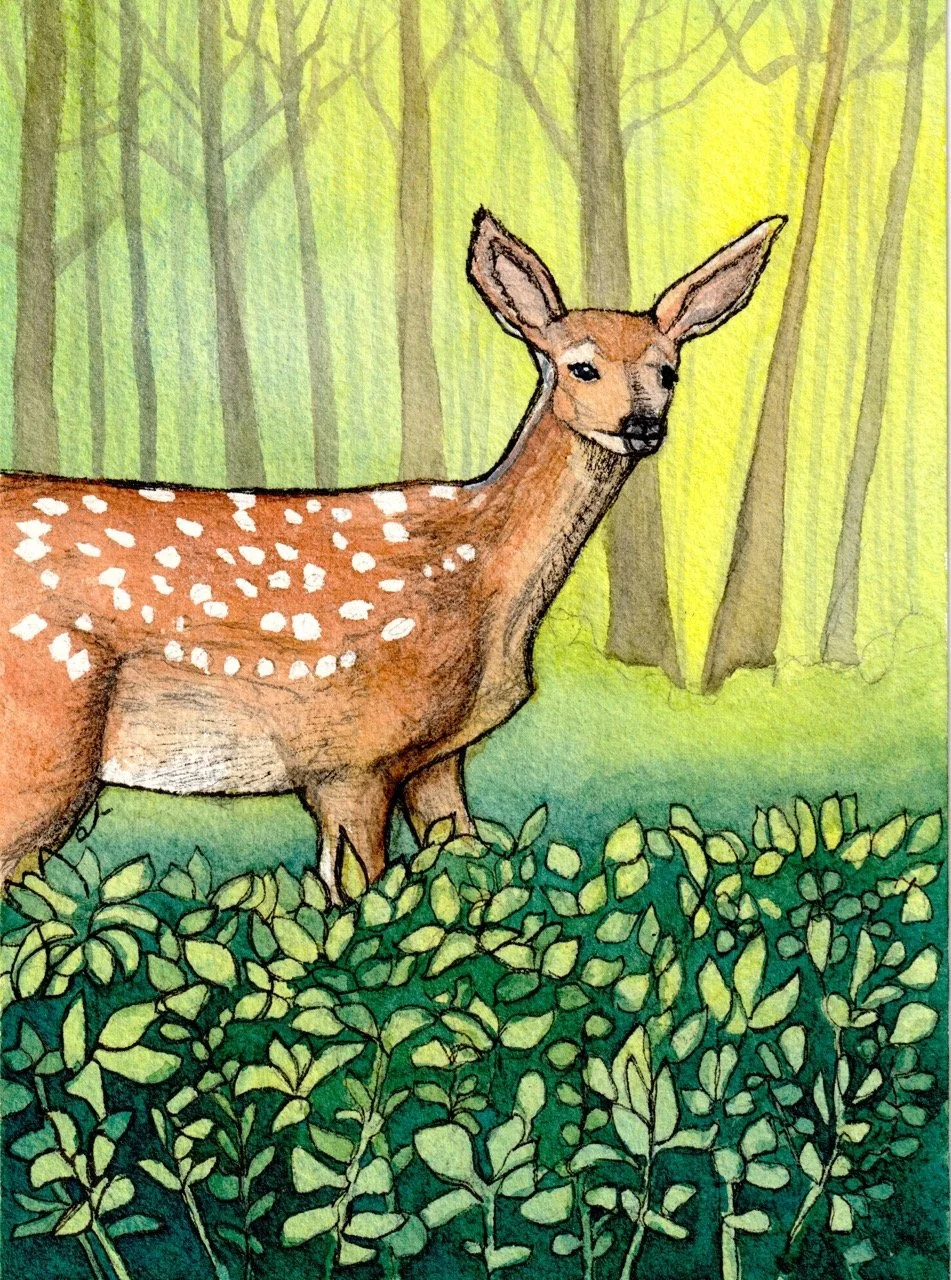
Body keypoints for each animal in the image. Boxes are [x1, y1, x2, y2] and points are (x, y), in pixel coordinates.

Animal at [0, 208, 784, 900]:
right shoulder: (353, 752)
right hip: (45, 735)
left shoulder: (439, 756)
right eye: (580, 367)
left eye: (668, 370)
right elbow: (361, 897)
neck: (487, 583)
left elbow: (461, 870)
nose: (641, 425)